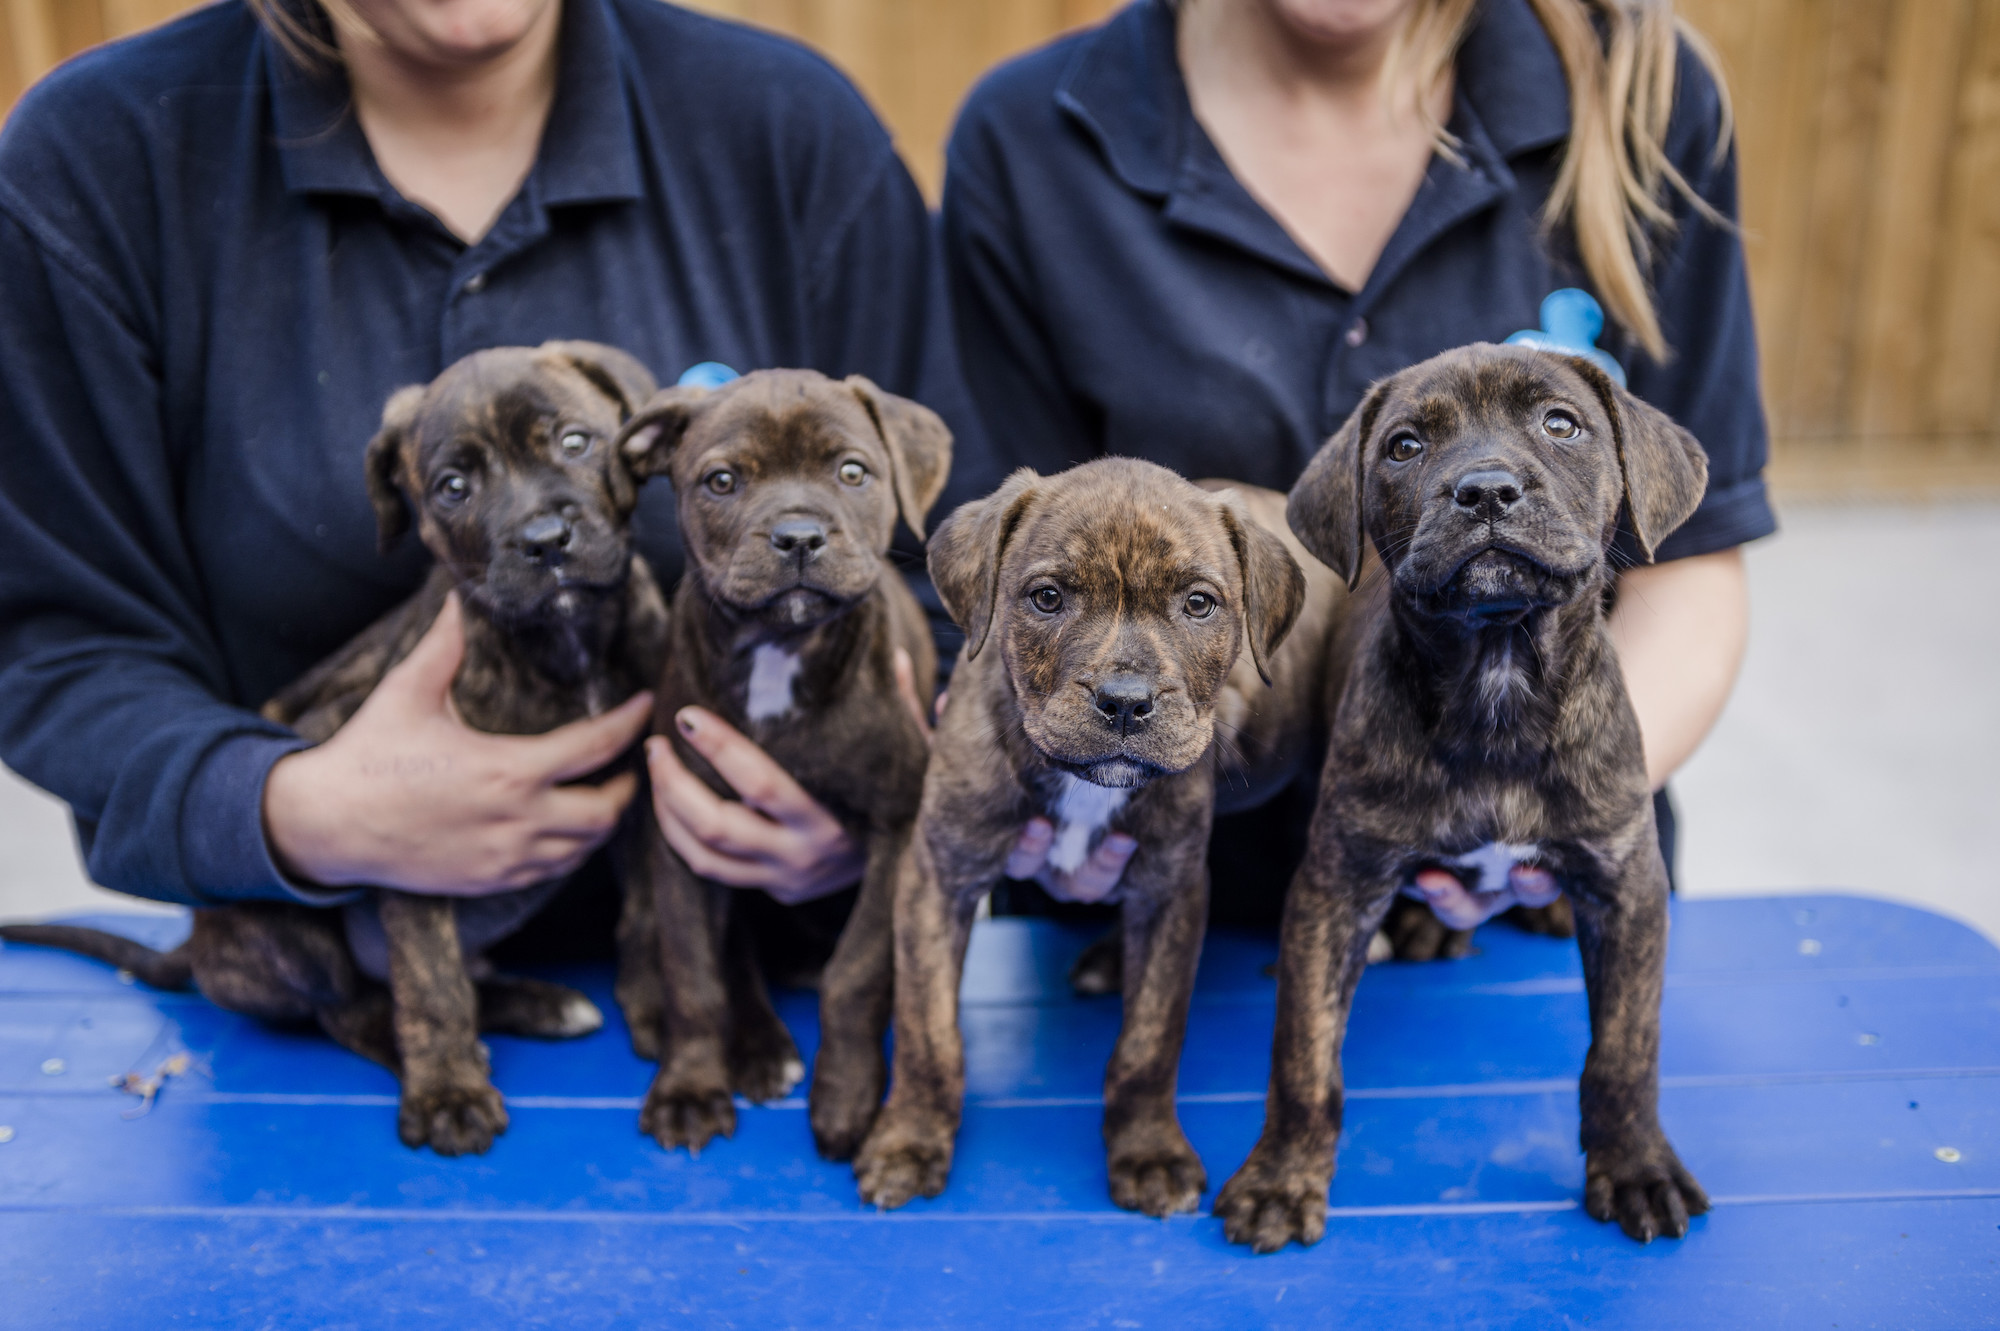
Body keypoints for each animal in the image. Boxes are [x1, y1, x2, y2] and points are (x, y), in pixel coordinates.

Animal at [0, 339, 672, 1151]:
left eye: (575, 442)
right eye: (453, 489)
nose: (545, 543)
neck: (564, 644)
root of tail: (198, 944)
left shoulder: (642, 793)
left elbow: (645, 914)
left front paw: (662, 1014)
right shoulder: (426, 828)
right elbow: (429, 981)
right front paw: (447, 1093)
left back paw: (534, 1002)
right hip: (292, 932)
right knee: (350, 1005)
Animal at [608, 367, 952, 1159]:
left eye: (853, 472)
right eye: (722, 480)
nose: (798, 536)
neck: (777, 649)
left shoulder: (895, 832)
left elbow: (855, 972)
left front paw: (847, 1098)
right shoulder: (681, 830)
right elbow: (693, 971)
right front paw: (689, 1088)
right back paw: (758, 1046)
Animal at [852, 455, 1336, 1215]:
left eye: (1199, 604)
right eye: (1047, 598)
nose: (1126, 702)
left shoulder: (1171, 888)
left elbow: (1149, 1040)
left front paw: (1148, 1151)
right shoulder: (938, 874)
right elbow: (929, 1032)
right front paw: (909, 1140)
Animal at [1208, 339, 1712, 1247]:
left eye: (1561, 424)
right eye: (1404, 446)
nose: (1484, 489)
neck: (1498, 678)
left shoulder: (1627, 886)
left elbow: (1625, 1053)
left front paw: (1637, 1169)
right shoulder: (1335, 887)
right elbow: (1304, 1057)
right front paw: (1281, 1177)